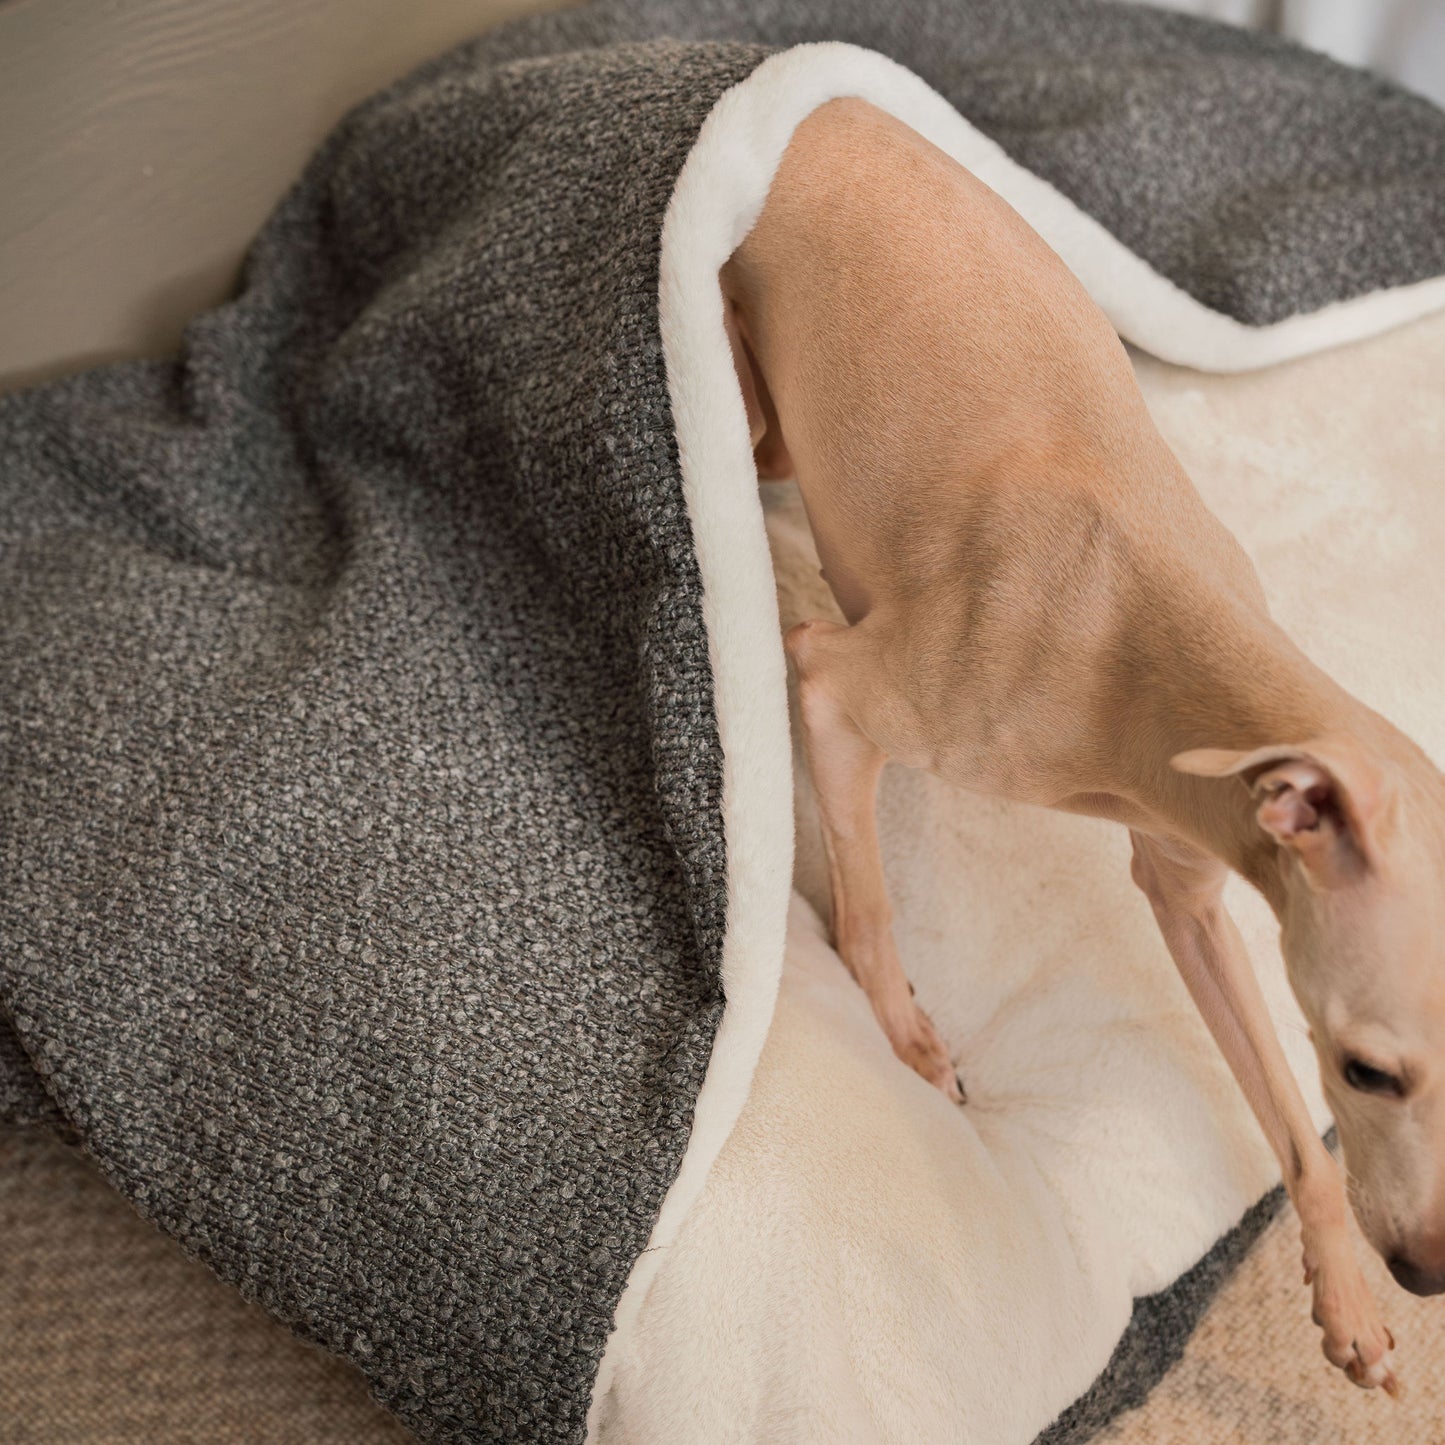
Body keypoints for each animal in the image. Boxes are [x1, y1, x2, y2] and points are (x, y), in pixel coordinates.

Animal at [722, 96, 1445, 1392]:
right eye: (1368, 1069)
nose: (1424, 1271)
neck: (1133, 628)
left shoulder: (1192, 883)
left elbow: (1289, 1129)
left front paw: (1346, 1303)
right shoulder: (840, 691)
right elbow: (867, 900)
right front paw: (904, 1033)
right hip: (757, 410)